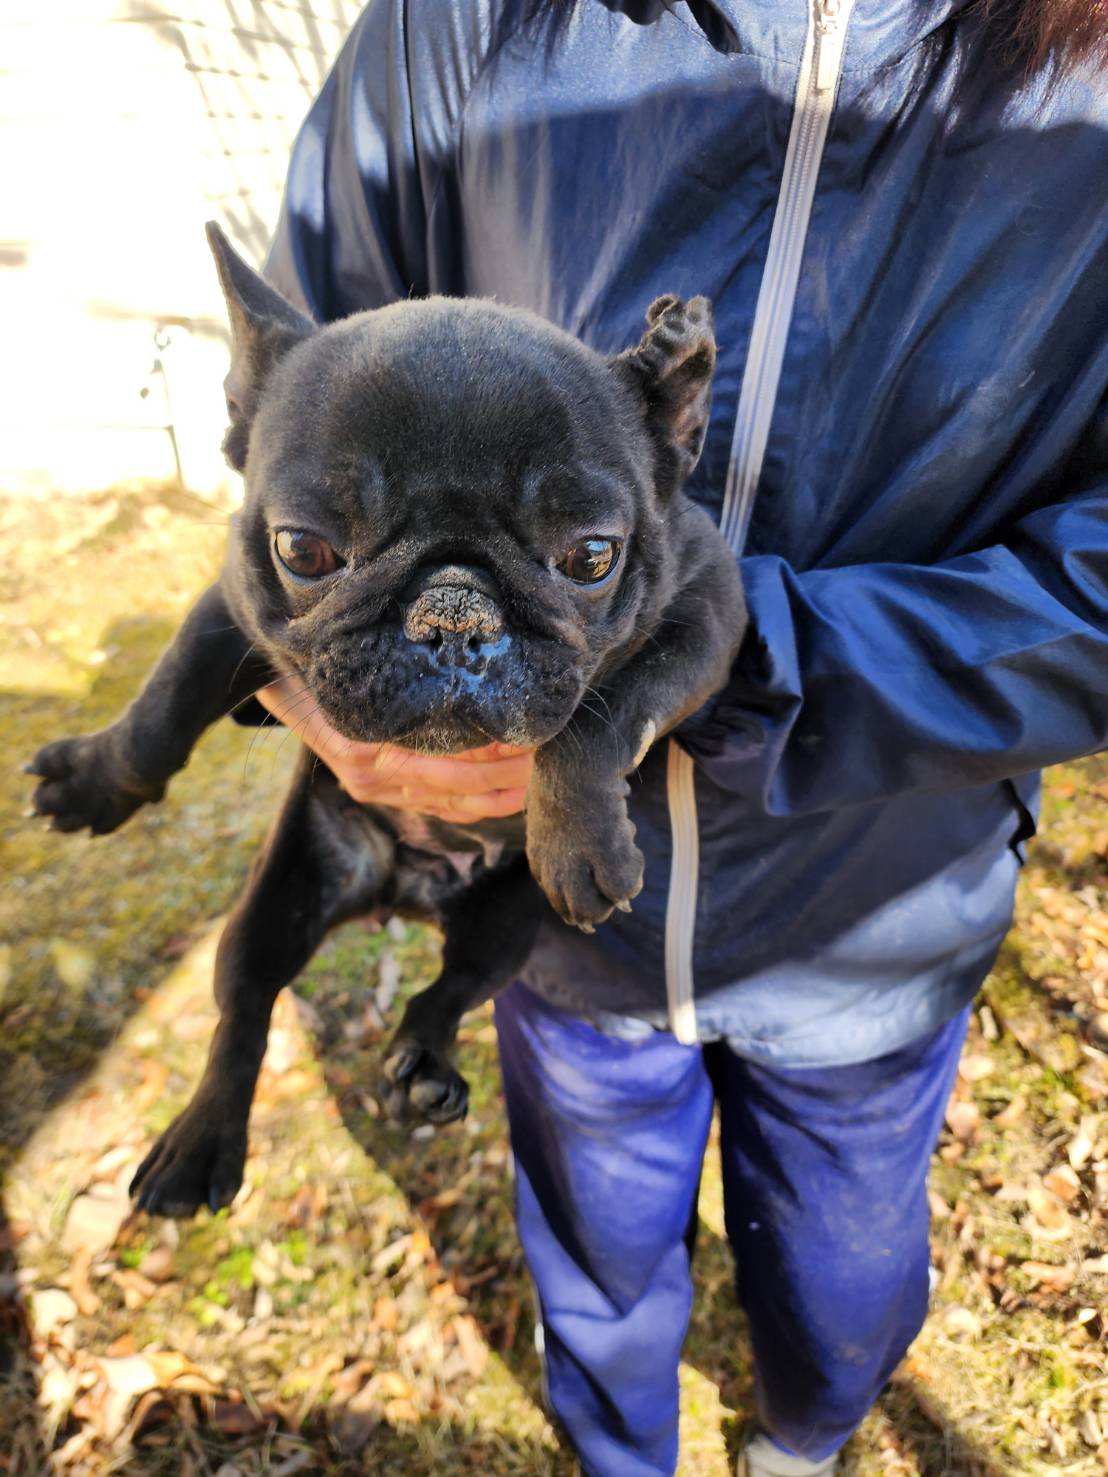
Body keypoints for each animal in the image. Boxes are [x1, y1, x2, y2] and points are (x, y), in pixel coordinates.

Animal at [23, 227, 747, 1222]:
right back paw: (199, 1142)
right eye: (304, 548)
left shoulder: (707, 615)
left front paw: (579, 837)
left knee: (450, 990)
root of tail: (404, 894)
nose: (454, 613)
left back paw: (423, 1068)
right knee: (244, 1003)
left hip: (509, 924)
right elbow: (163, 704)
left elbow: (603, 716)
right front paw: (97, 781)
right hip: (281, 892)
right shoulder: (229, 607)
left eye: (592, 556)